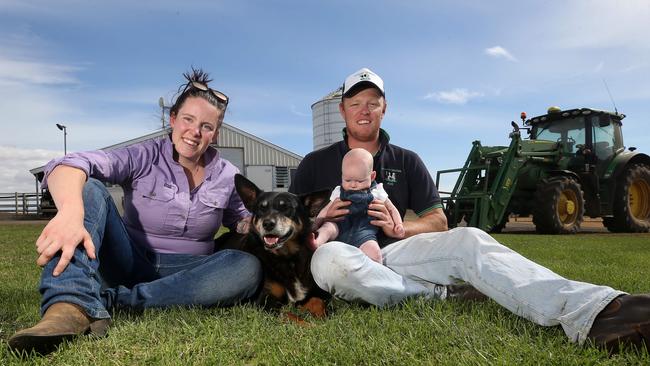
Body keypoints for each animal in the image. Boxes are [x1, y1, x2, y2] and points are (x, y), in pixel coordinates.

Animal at [228, 173, 330, 318]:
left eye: (286, 208)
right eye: (261, 208)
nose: (267, 223)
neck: (287, 258)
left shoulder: (314, 292)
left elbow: (318, 302)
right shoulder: (265, 303)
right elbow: (291, 316)